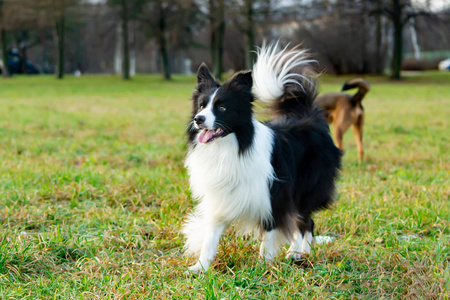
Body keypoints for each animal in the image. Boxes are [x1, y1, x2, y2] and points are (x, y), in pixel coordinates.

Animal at [183, 44, 342, 272]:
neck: (232, 146)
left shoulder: (274, 198)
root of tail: (308, 116)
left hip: (303, 191)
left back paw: (301, 253)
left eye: (222, 108)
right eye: (201, 106)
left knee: (305, 223)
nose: (198, 119)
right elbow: (210, 239)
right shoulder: (221, 199)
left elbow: (268, 238)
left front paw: (264, 266)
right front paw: (200, 268)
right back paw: (295, 252)